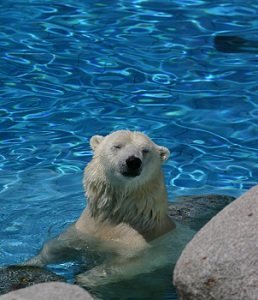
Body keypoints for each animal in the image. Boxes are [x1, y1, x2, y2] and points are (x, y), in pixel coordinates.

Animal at [24, 130, 179, 288]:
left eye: (145, 150)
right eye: (117, 146)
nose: (133, 161)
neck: (120, 214)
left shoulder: (142, 243)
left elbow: (126, 264)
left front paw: (83, 279)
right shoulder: (85, 229)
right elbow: (57, 246)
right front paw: (29, 263)